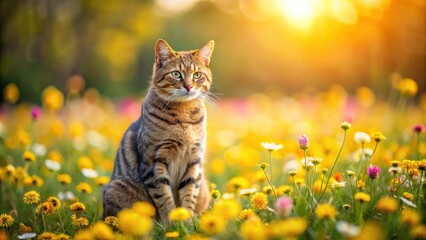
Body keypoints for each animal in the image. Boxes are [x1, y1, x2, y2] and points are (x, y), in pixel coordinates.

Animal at [102, 38, 215, 224]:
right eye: (176, 74)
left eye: (197, 75)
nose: (189, 86)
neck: (183, 116)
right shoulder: (154, 162)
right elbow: (164, 198)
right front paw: (171, 224)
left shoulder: (194, 160)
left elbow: (189, 195)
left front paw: (187, 224)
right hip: (117, 189)